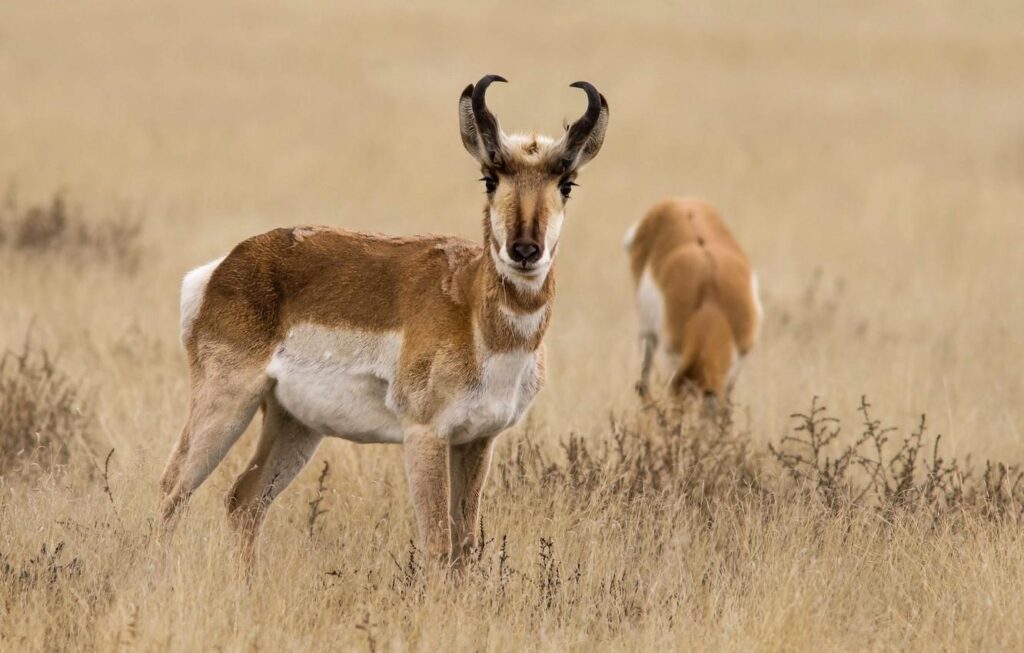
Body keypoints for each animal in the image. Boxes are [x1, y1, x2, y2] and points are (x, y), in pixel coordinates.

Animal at [159, 75, 606, 569]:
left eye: (567, 184)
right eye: (490, 178)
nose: (525, 250)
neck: (472, 308)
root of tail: (227, 264)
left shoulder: (477, 440)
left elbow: (465, 546)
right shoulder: (425, 435)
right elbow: (438, 545)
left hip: (295, 423)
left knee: (245, 500)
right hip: (227, 402)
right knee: (173, 489)